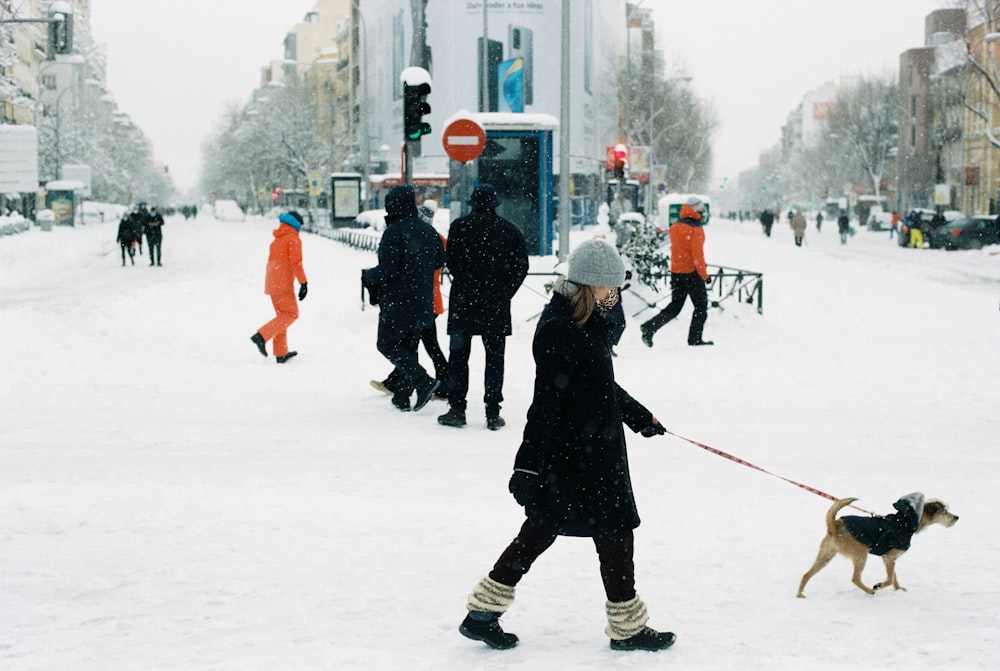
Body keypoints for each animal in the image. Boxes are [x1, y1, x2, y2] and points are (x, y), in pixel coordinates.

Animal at [800, 494, 956, 600]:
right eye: (945, 511)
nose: (957, 517)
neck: (904, 522)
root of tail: (834, 525)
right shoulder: (890, 557)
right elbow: (890, 578)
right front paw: (879, 585)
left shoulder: (889, 559)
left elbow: (893, 576)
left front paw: (898, 589)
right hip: (861, 554)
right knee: (855, 578)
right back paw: (870, 590)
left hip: (826, 556)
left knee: (806, 574)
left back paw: (800, 594)